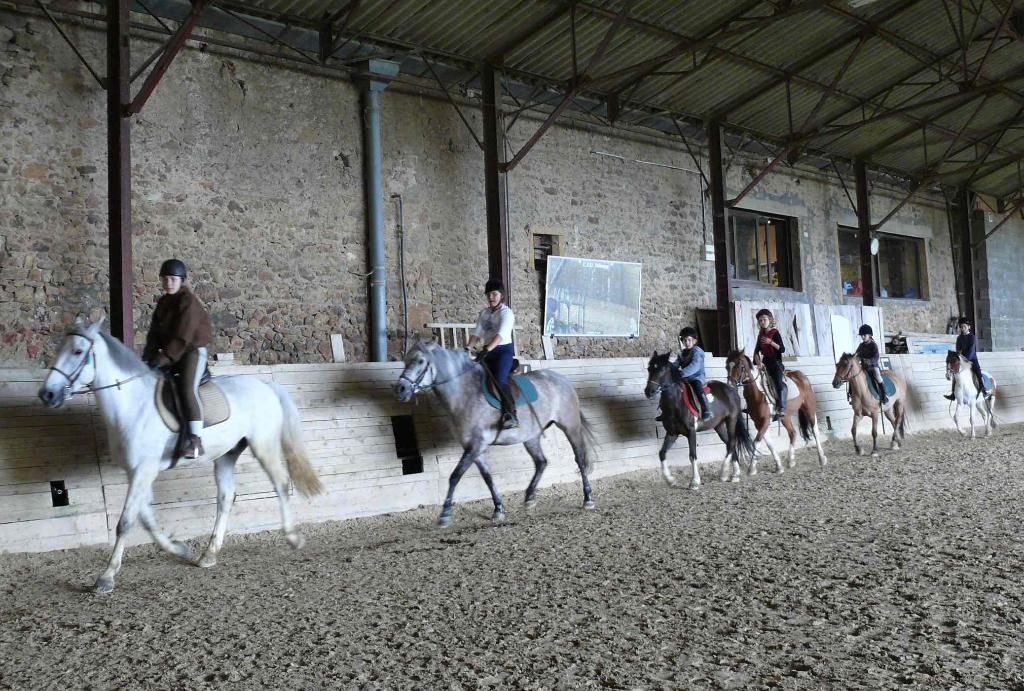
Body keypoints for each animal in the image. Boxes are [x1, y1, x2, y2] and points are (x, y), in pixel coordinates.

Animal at [37, 319, 321, 593]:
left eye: (77, 351)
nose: (46, 394)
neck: (133, 405)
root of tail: (265, 385)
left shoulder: (143, 470)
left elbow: (126, 521)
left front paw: (106, 578)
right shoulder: (137, 471)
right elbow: (146, 519)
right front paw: (179, 548)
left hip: (263, 445)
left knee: (280, 483)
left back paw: (293, 538)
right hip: (227, 454)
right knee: (226, 497)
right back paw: (209, 554)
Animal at [393, 341, 598, 528]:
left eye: (420, 361)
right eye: (406, 361)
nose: (400, 389)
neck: (465, 394)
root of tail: (561, 379)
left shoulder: (477, 445)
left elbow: (455, 476)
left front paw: (445, 514)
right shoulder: (475, 448)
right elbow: (488, 477)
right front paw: (498, 509)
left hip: (570, 427)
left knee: (579, 459)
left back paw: (588, 499)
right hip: (531, 437)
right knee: (541, 462)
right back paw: (529, 498)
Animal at [643, 352, 757, 491]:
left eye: (662, 370)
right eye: (649, 369)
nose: (649, 391)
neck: (676, 403)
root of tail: (731, 390)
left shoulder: (691, 432)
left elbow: (692, 455)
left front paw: (695, 482)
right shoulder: (672, 433)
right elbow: (662, 453)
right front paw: (670, 480)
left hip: (731, 420)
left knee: (731, 443)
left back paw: (724, 473)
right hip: (719, 426)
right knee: (730, 444)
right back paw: (735, 475)